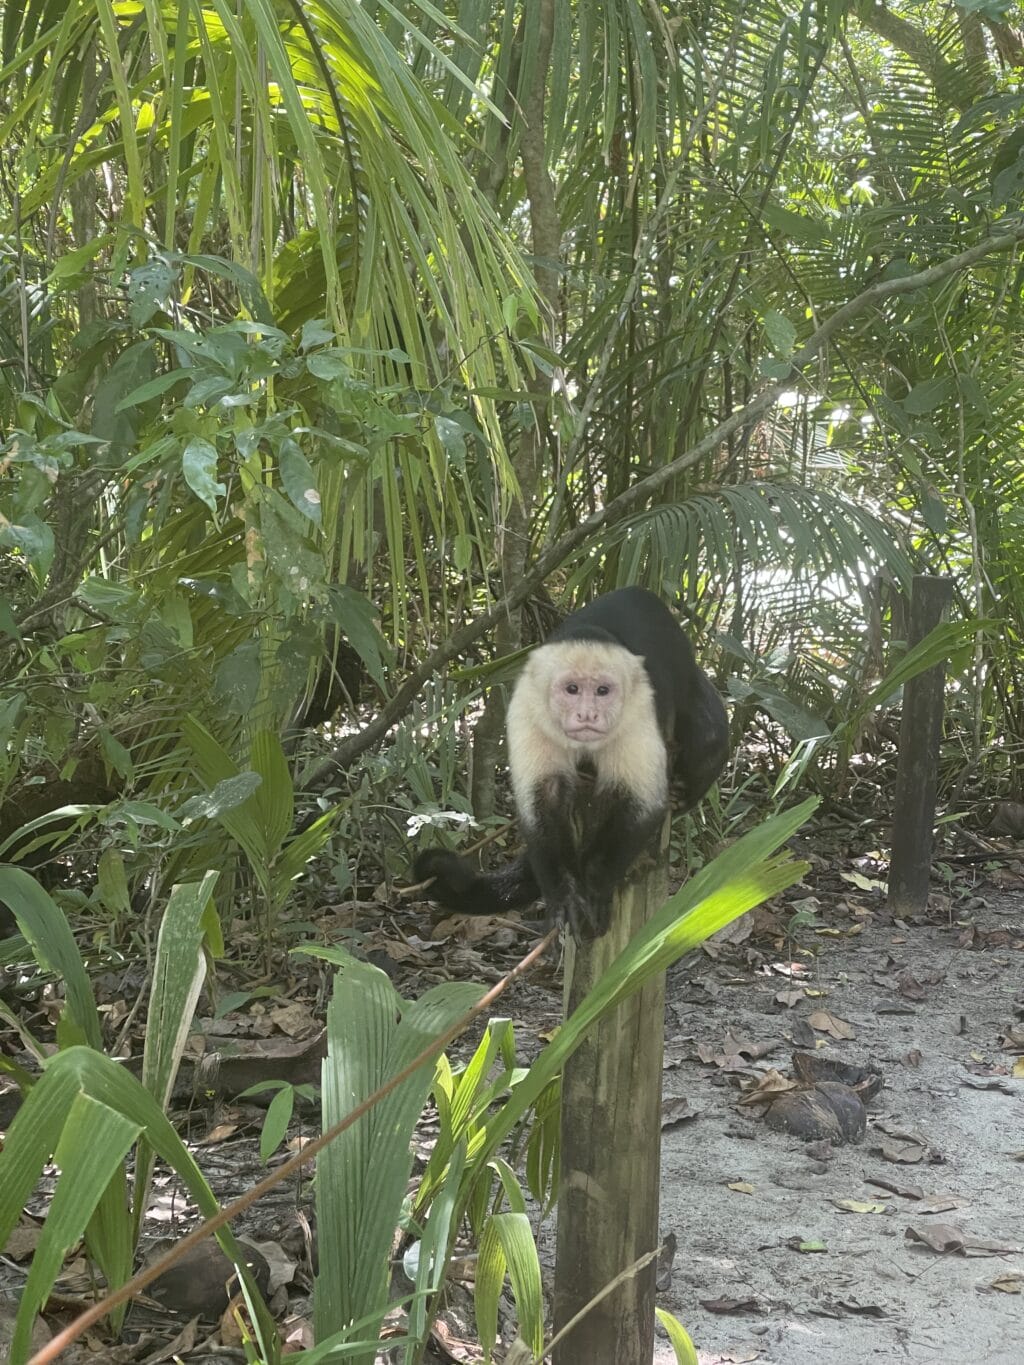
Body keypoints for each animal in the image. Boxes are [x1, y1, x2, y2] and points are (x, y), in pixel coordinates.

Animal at [415, 586, 731, 939]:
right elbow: (544, 798)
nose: (587, 715)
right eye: (572, 689)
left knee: (709, 736)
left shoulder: (639, 708)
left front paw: (595, 883)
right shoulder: (528, 707)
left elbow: (643, 801)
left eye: (603, 690)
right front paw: (564, 893)